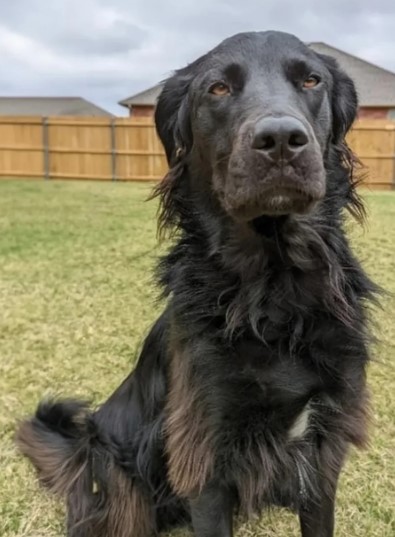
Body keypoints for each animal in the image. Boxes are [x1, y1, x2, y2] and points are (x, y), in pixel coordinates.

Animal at [17, 32, 378, 536]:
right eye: (218, 89)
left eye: (311, 80)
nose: (280, 142)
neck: (273, 289)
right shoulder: (204, 459)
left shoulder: (324, 450)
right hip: (115, 478)